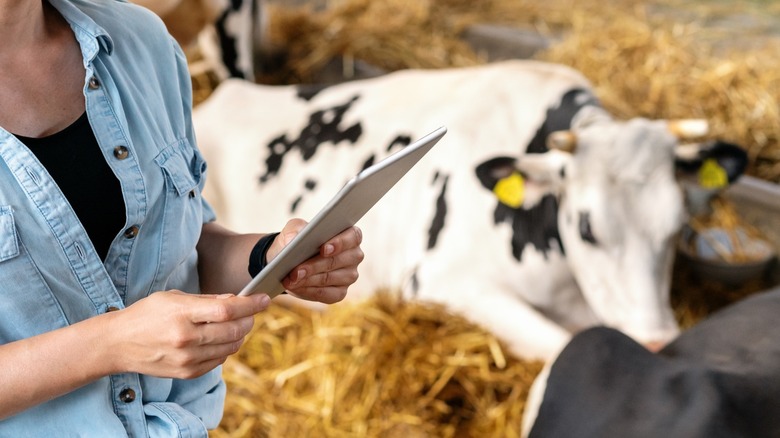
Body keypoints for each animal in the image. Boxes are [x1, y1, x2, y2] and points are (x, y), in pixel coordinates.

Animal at [192, 61, 748, 362]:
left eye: (677, 226)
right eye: (588, 228)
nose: (656, 342)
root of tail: (223, 95)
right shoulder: (446, 282)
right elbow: (559, 347)